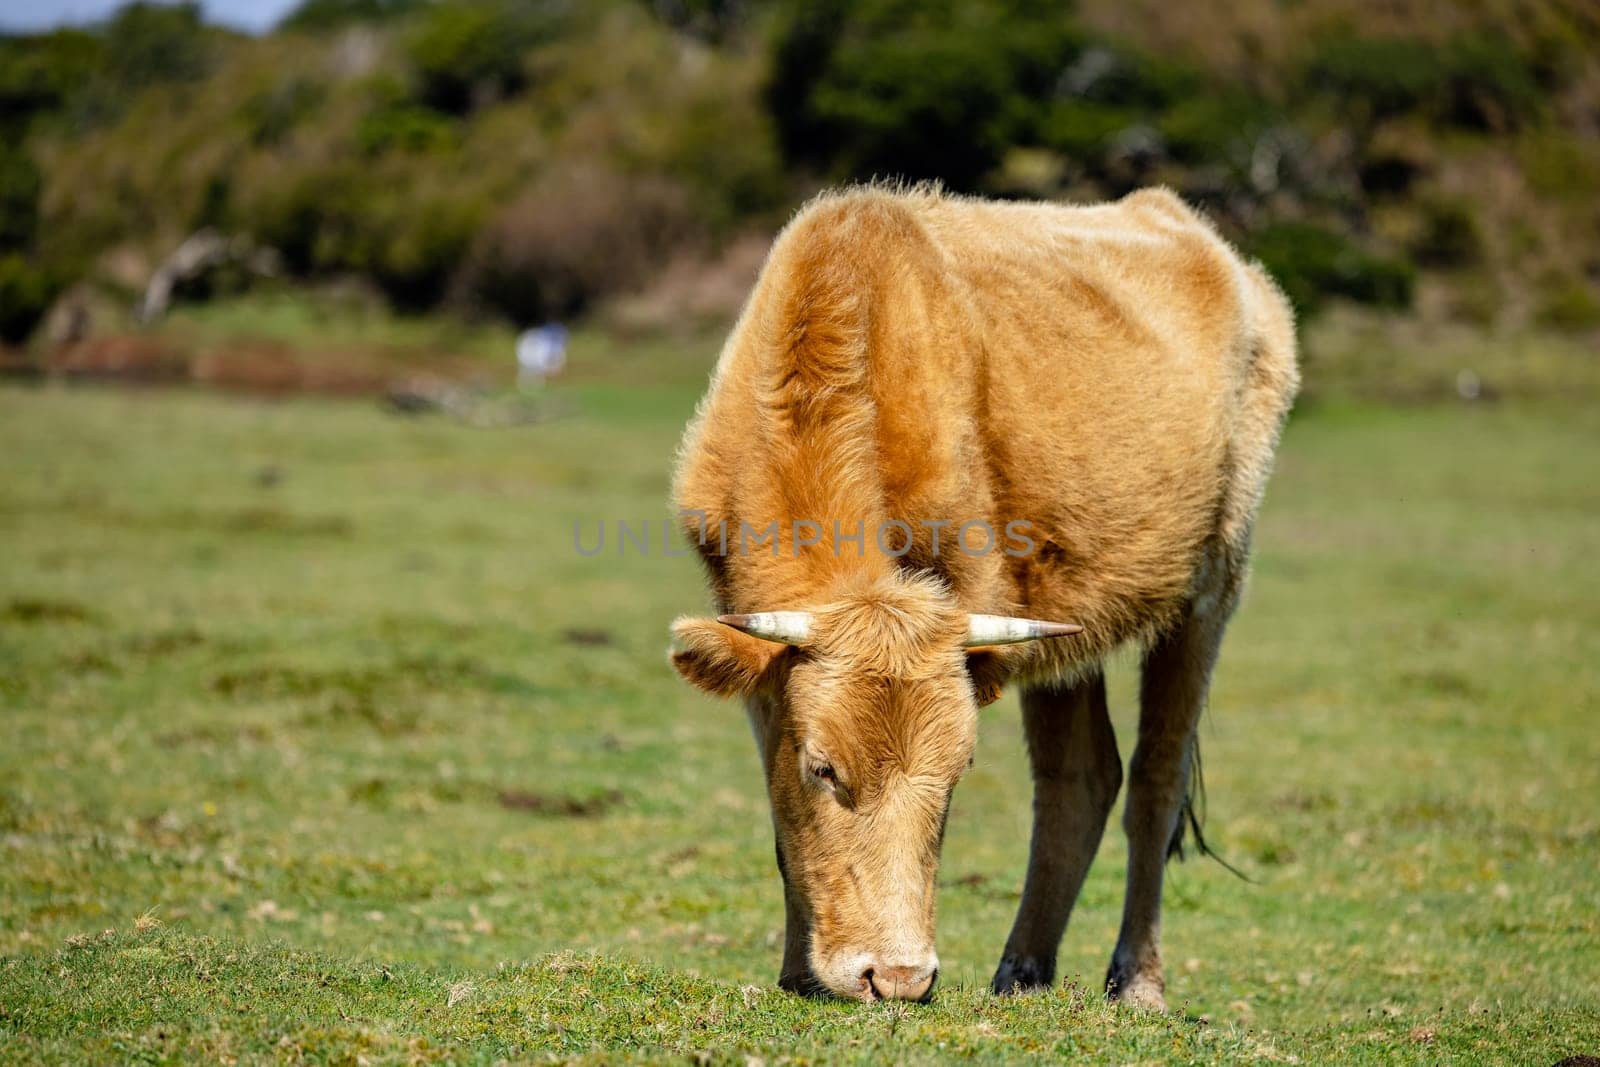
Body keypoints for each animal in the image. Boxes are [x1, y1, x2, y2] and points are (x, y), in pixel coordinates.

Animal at [665, 185, 1299, 1011]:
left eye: (957, 770)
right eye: (822, 768)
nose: (898, 975)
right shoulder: (759, 665)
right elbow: (780, 819)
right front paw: (798, 969)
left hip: (1209, 593)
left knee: (1153, 785)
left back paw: (1137, 979)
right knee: (1080, 780)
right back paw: (1022, 971)